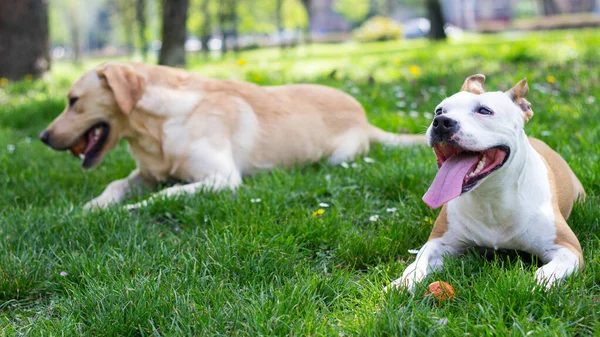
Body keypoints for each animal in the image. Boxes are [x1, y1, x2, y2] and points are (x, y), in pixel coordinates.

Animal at [39, 60, 424, 207]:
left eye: (73, 101)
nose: (42, 137)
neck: (158, 128)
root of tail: (365, 116)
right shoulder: (146, 173)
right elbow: (115, 184)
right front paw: (94, 206)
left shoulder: (222, 179)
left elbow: (167, 193)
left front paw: (134, 208)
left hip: (340, 157)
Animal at [390, 75, 584, 290]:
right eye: (439, 110)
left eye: (484, 111)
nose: (441, 122)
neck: (490, 196)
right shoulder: (439, 243)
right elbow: (418, 263)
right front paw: (403, 282)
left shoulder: (568, 248)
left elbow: (548, 271)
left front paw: (537, 284)